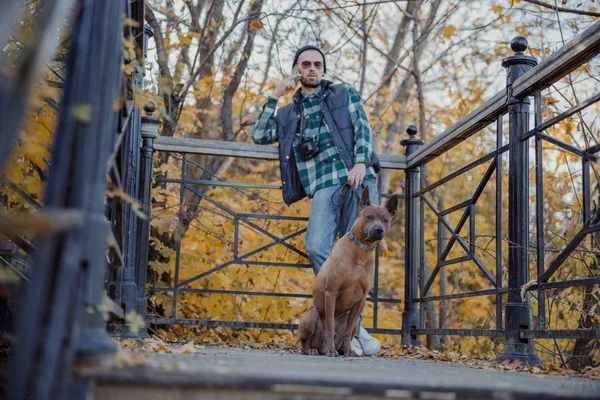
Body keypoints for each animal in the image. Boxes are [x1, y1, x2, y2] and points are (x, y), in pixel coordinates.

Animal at [296, 186, 398, 358]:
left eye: (385, 219)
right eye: (369, 217)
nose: (379, 229)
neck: (361, 251)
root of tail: (320, 347)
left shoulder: (361, 300)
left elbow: (348, 330)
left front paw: (349, 350)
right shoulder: (331, 293)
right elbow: (330, 326)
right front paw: (331, 351)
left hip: (349, 320)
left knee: (348, 331)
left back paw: (344, 350)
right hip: (312, 314)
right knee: (306, 342)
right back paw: (314, 350)